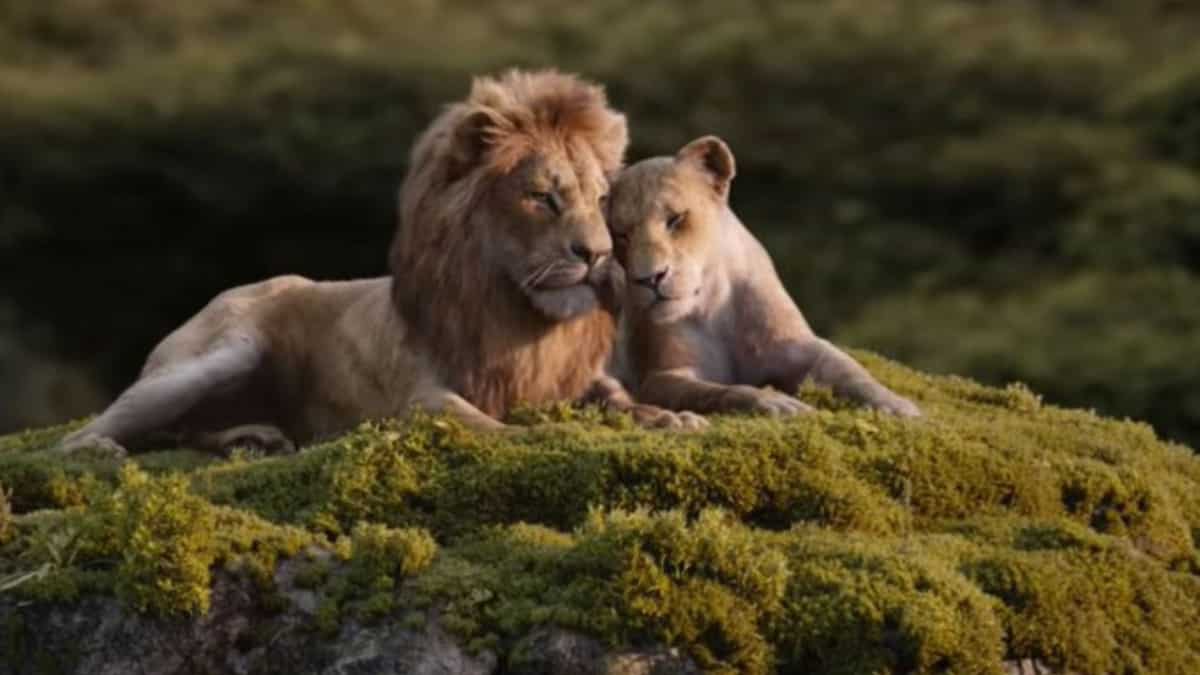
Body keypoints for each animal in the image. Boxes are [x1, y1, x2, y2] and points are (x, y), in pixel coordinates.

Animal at [58, 70, 702, 456]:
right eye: (542, 197)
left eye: (601, 198)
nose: (596, 255)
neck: (521, 317)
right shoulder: (416, 398)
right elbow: (481, 422)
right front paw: (531, 437)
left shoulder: (576, 379)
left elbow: (622, 400)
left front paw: (670, 419)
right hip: (223, 352)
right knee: (98, 431)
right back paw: (99, 449)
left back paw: (255, 437)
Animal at [607, 135, 921, 418]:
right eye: (621, 235)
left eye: (675, 219)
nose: (649, 278)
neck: (713, 306)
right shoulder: (661, 376)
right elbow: (720, 390)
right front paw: (777, 403)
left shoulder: (796, 346)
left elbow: (850, 371)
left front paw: (897, 405)